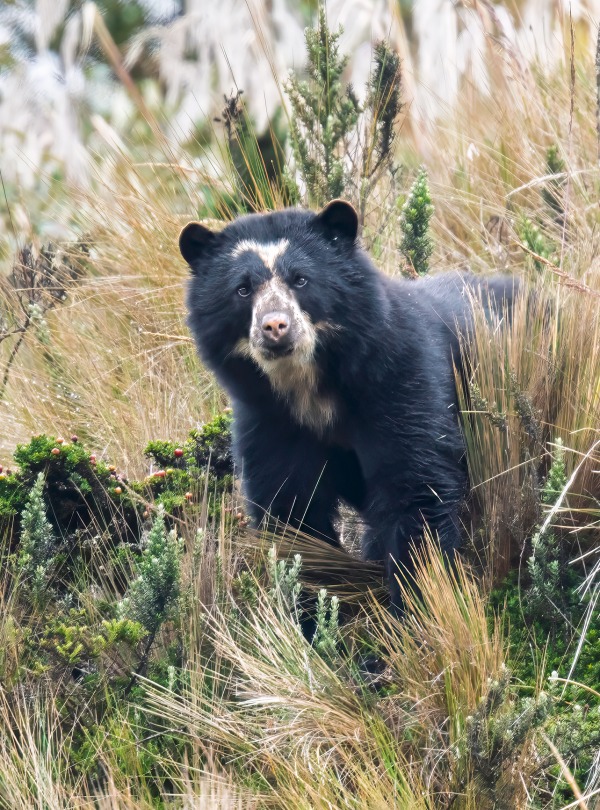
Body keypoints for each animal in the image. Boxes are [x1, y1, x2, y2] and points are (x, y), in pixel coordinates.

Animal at [179, 200, 517, 607]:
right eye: (242, 289)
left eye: (301, 279)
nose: (275, 327)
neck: (310, 386)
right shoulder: (270, 418)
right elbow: (292, 511)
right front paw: (310, 611)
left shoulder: (401, 380)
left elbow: (415, 487)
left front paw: (419, 605)